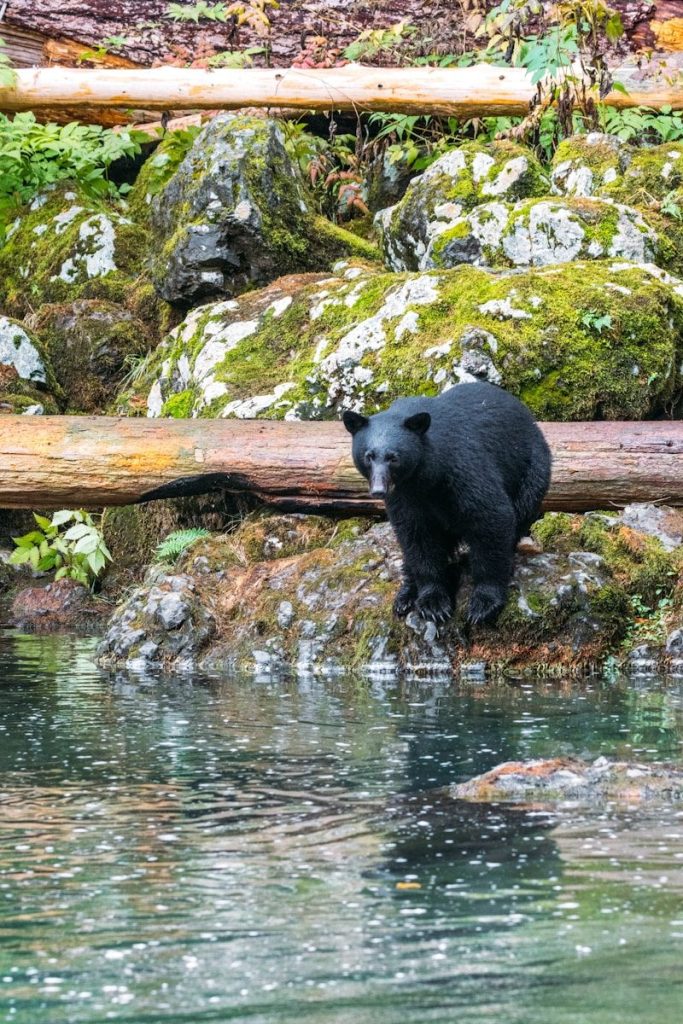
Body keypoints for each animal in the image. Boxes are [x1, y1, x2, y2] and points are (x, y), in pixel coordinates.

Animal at [343, 381, 552, 626]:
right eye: (368, 456)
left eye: (393, 457)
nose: (378, 489)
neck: (423, 480)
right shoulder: (403, 497)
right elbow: (417, 538)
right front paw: (432, 602)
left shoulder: (462, 469)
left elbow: (491, 518)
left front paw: (484, 603)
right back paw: (405, 595)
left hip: (531, 472)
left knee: (520, 513)